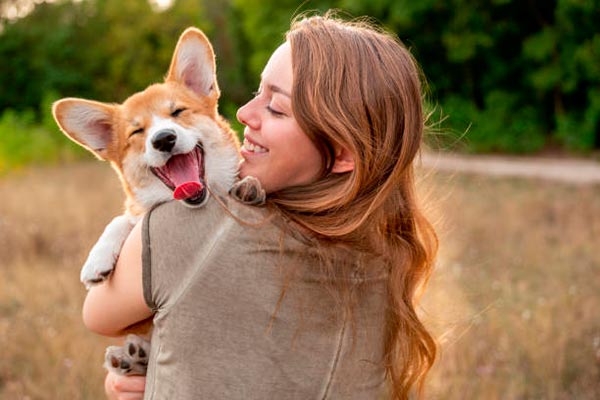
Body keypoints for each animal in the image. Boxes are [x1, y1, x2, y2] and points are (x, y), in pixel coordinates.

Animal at [52, 27, 264, 376]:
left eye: (177, 112)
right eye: (137, 132)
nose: (163, 139)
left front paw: (250, 186)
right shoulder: (137, 213)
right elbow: (122, 219)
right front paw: (97, 261)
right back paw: (130, 357)